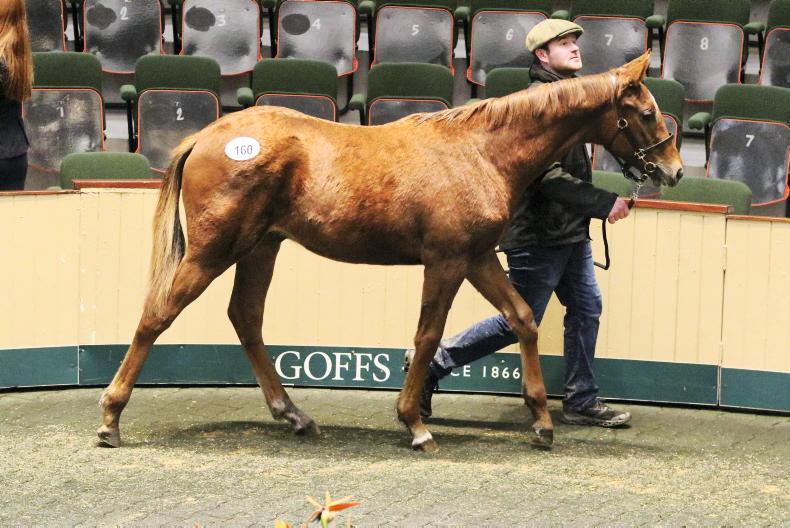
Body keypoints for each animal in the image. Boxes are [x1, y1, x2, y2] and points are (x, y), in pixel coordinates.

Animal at [97, 52, 683, 452]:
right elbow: (427, 335)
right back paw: (110, 418)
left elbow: (521, 318)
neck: (482, 152)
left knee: (245, 317)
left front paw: (540, 422)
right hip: (214, 251)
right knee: (158, 315)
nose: (674, 171)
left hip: (261, 248)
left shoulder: (477, 258)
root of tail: (207, 136)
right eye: (646, 113)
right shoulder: (446, 262)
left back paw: (293, 415)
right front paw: (414, 422)